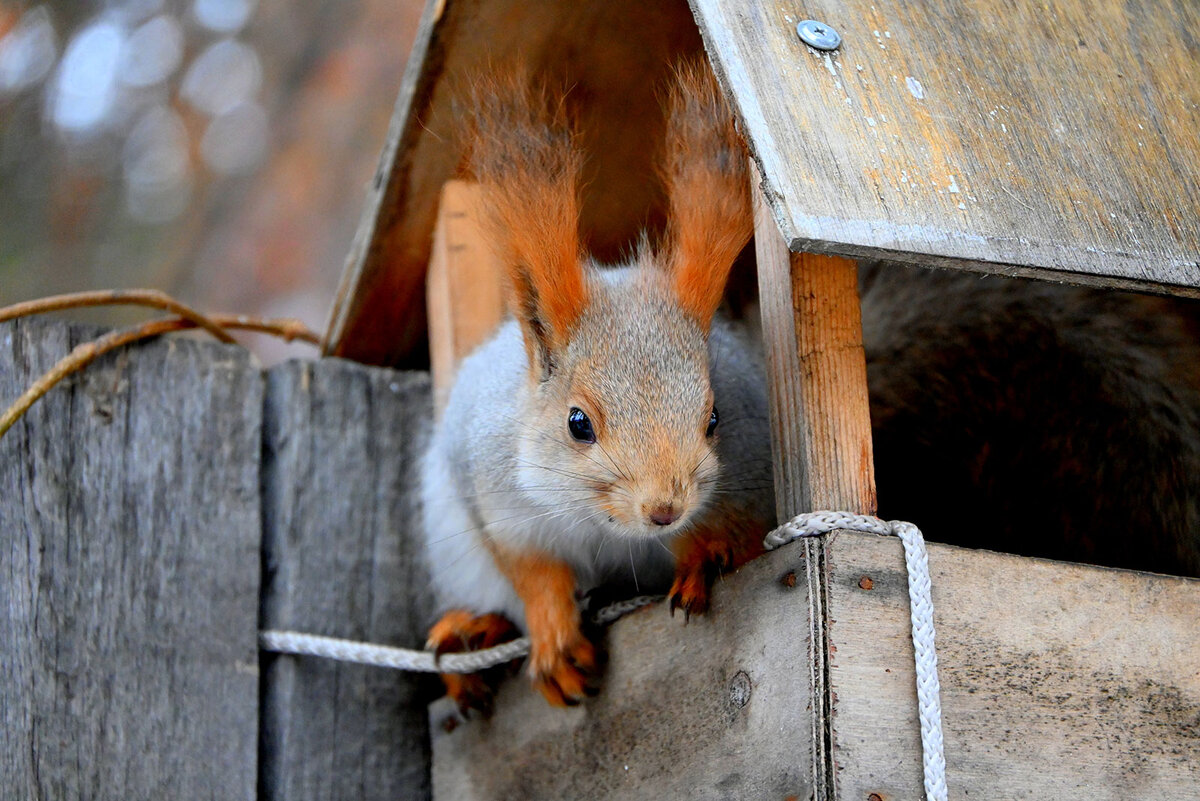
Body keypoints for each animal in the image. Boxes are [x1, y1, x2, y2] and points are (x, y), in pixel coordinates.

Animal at [422, 64, 777, 714]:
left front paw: (703, 556)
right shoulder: (495, 494)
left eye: (714, 419)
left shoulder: (750, 473)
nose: (664, 510)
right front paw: (553, 637)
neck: (605, 528)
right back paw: (472, 632)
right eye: (577, 423)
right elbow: (531, 570)